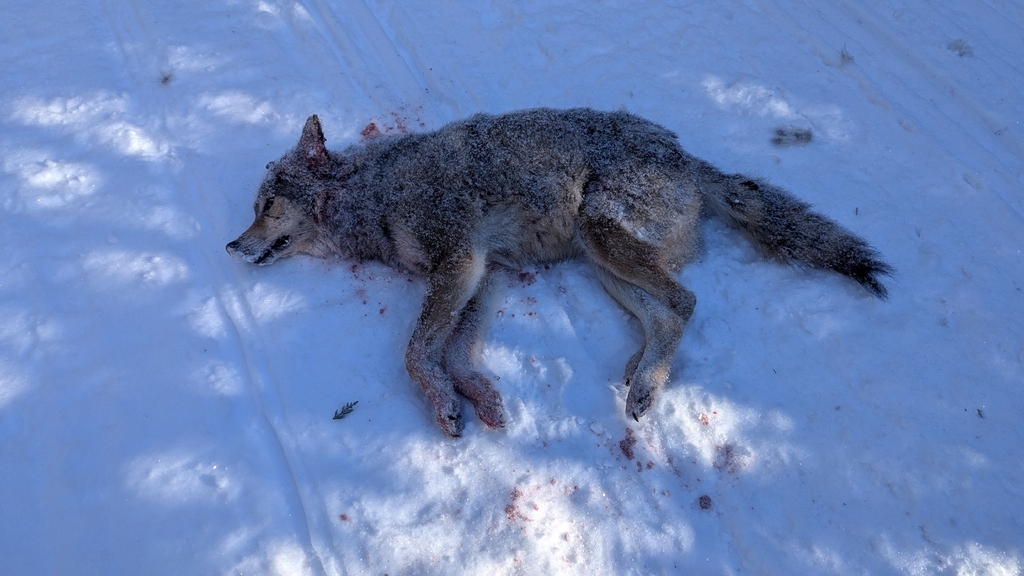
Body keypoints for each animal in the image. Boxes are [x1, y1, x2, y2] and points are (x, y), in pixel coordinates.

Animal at [226, 108, 891, 438]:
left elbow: (416, 354)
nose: (231, 245)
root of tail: (687, 158)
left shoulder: (460, 263)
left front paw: (445, 405)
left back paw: (646, 386)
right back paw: (641, 372)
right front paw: (480, 401)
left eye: (265, 205)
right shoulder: (484, 273)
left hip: (603, 238)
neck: (376, 192)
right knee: (670, 310)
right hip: (604, 267)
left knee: (686, 300)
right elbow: (455, 352)